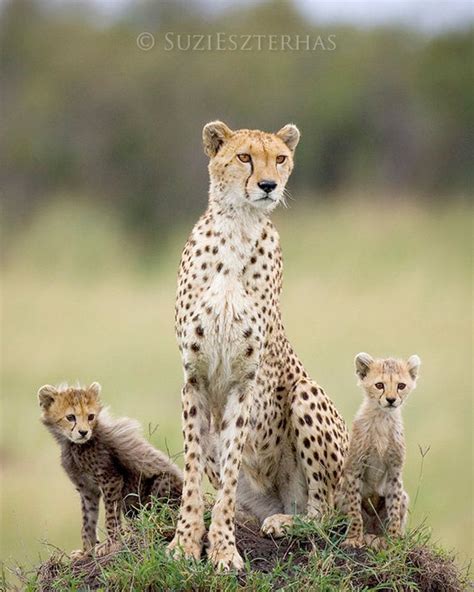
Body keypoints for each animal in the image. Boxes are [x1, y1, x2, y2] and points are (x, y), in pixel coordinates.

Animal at [169, 120, 348, 568]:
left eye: (280, 158)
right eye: (244, 157)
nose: (268, 185)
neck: (239, 229)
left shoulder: (243, 382)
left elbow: (231, 470)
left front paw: (223, 550)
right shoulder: (194, 379)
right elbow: (194, 469)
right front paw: (186, 542)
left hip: (305, 393)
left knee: (326, 513)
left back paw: (285, 524)